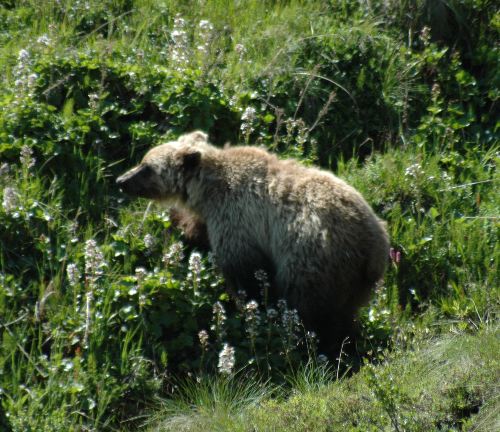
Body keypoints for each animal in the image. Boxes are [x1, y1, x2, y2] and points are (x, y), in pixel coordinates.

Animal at [118, 132, 390, 354]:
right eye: (143, 160)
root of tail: (376, 246)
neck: (206, 190)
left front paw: (246, 308)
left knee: (308, 304)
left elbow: (245, 274)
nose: (121, 181)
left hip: (314, 256)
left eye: (146, 166)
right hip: (355, 280)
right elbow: (198, 233)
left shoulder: (237, 219)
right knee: (344, 312)